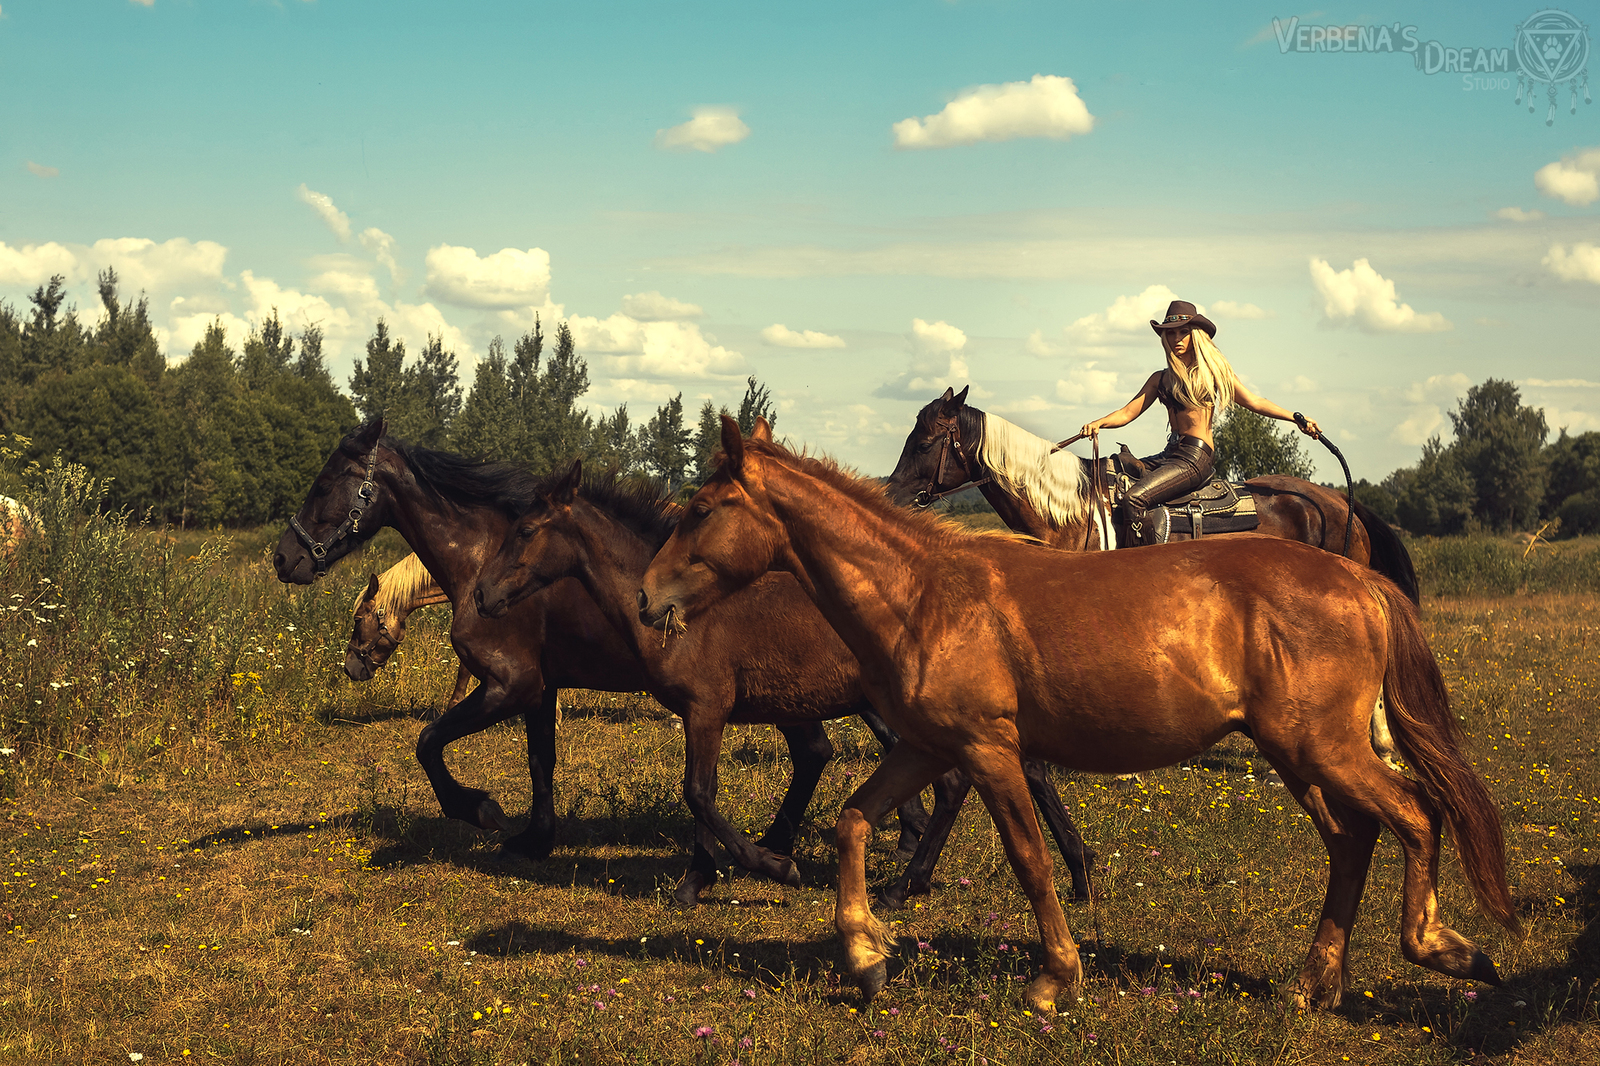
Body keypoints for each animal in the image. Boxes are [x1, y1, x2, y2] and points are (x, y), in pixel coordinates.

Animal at [473, 460, 1094, 902]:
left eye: (525, 530)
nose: (482, 594)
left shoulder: (707, 707)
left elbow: (698, 793)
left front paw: (769, 866)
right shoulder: (705, 713)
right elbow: (704, 793)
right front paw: (701, 880)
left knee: (961, 783)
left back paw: (906, 885)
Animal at [636, 409, 1510, 1011]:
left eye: (705, 508)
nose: (646, 599)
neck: (923, 593)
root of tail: (1358, 576)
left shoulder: (988, 750)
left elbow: (1031, 860)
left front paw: (1054, 978)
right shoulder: (926, 746)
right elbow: (853, 821)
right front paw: (865, 954)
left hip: (1323, 749)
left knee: (1414, 815)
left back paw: (1443, 948)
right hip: (1300, 755)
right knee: (1353, 837)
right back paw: (1316, 980)